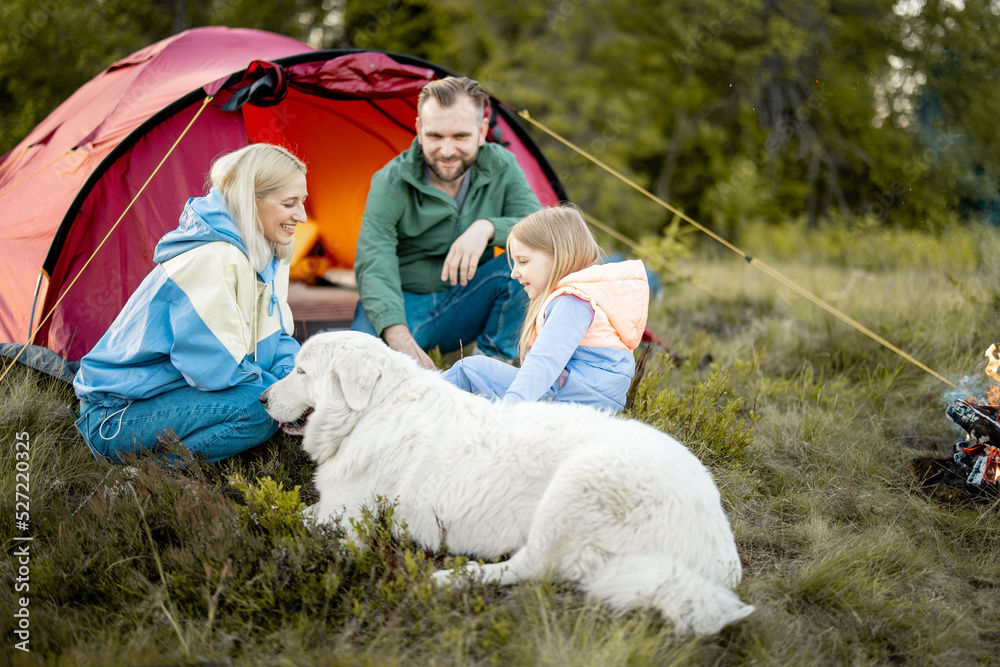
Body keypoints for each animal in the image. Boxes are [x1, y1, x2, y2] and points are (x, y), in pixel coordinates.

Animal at [262, 332, 752, 636]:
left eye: (301, 371)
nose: (263, 398)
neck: (372, 410)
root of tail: (721, 552)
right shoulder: (332, 507)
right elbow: (285, 510)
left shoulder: (347, 521)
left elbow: (283, 522)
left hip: (575, 484)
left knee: (531, 568)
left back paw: (451, 578)